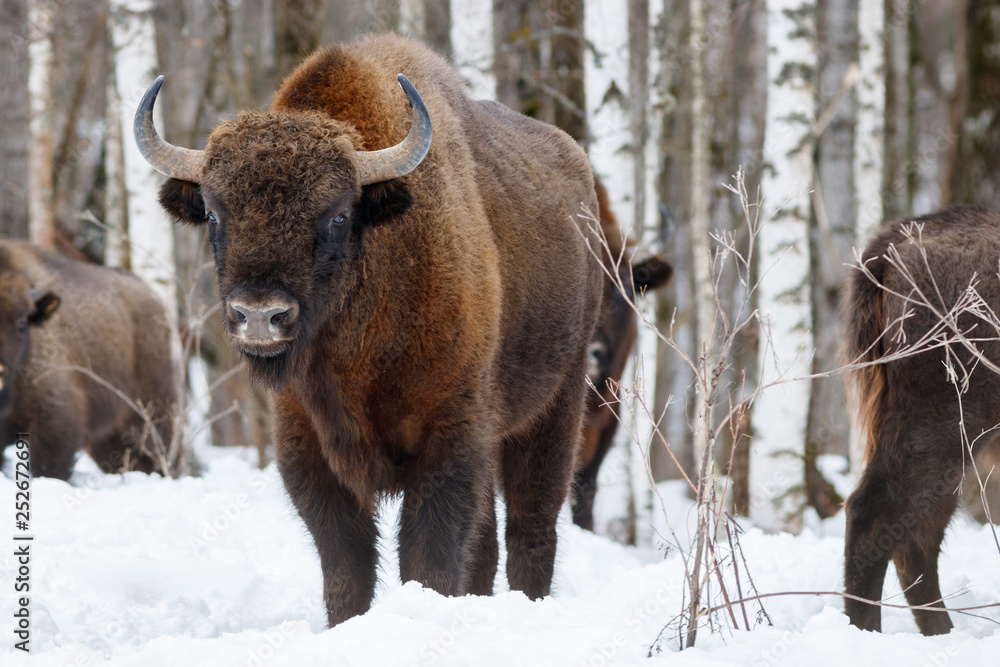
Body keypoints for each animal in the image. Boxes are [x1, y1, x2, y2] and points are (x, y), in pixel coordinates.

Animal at [136, 34, 602, 626]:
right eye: (215, 214)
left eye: (337, 215)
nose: (260, 315)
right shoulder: (308, 450)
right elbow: (346, 564)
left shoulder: (451, 439)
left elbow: (427, 557)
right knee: (490, 542)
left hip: (555, 406)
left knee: (532, 526)